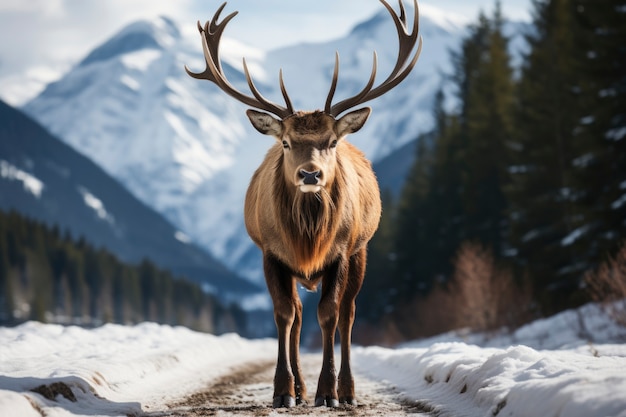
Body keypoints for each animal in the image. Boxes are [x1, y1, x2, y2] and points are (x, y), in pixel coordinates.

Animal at [183, 0, 422, 408]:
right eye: (286, 143)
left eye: (331, 141)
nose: (310, 175)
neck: (309, 235)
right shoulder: (271, 252)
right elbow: (283, 314)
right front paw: (283, 390)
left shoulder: (341, 250)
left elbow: (329, 314)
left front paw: (328, 392)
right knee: (296, 311)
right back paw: (299, 387)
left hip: (361, 252)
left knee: (348, 312)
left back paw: (346, 389)